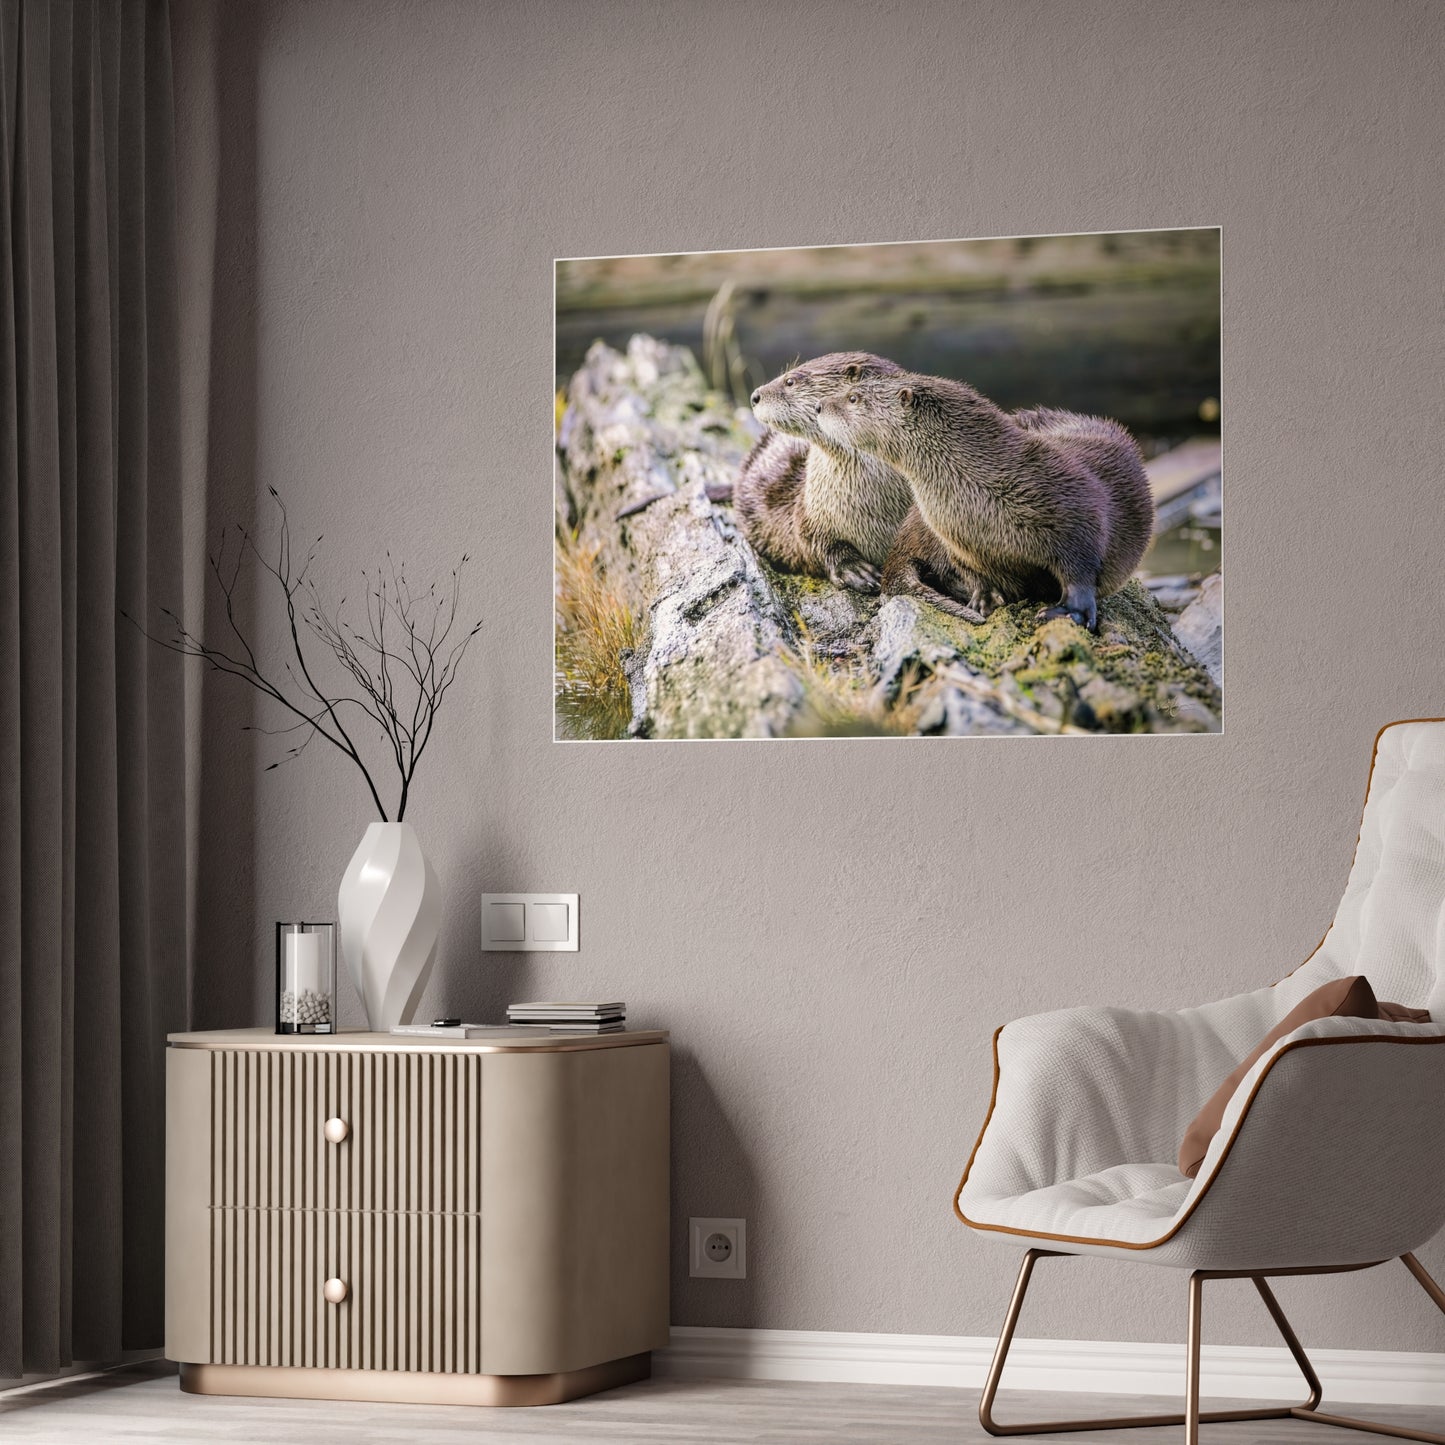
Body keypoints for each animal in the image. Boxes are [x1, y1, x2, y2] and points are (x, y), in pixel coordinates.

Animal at [740, 352, 990, 618]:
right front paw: (855, 569)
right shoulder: (810, 511)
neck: (871, 507)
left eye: (790, 381)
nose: (755, 396)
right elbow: (814, 541)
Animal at [816, 376, 1154, 630]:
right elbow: (973, 571)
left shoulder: (1076, 512)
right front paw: (984, 599)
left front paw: (1070, 611)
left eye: (853, 397)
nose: (819, 406)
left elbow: (1081, 569)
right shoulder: (958, 541)